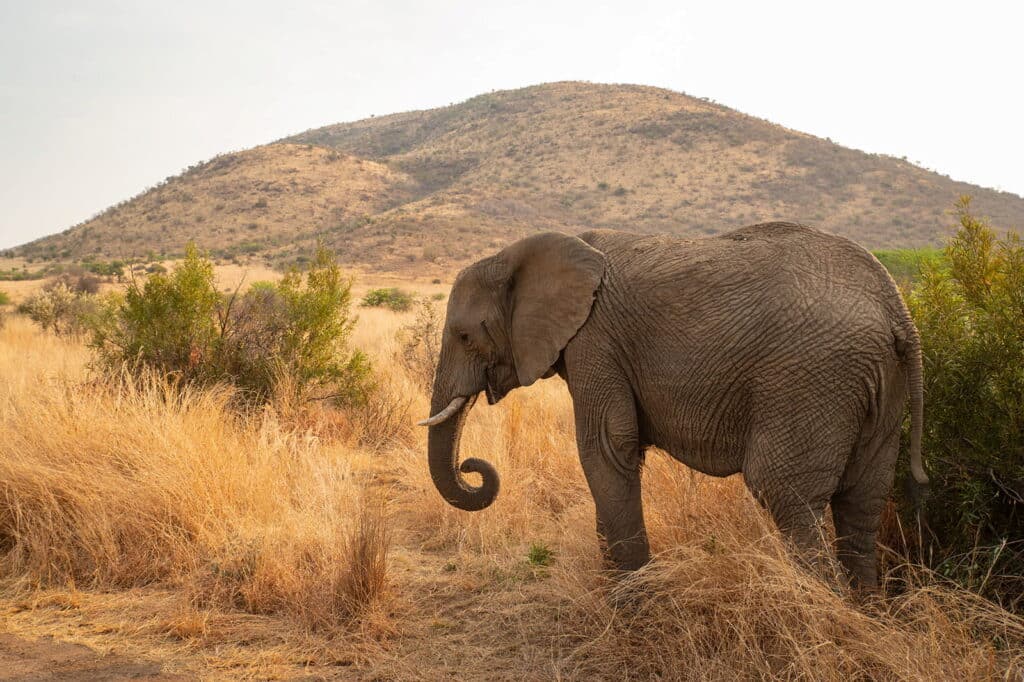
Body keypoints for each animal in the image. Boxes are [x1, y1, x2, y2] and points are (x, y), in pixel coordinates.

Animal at [418, 223, 928, 588]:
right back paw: (864, 608)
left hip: (810, 378)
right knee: (861, 502)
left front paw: (630, 601)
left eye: (465, 337)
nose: (472, 465)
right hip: (878, 385)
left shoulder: (596, 342)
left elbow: (606, 448)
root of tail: (895, 309)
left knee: (787, 496)